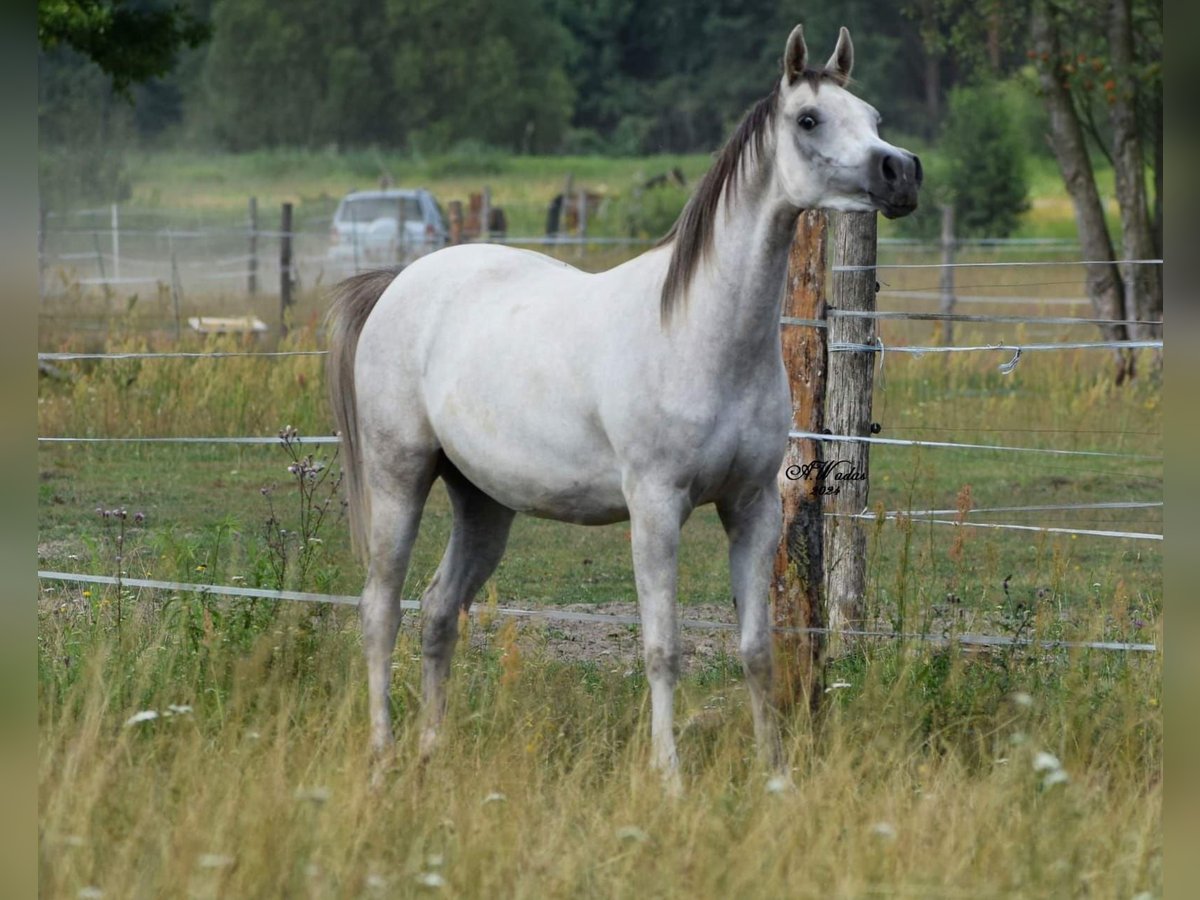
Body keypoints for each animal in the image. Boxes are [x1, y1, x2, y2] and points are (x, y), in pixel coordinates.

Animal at [328, 26, 916, 787]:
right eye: (809, 119)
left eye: (872, 116)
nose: (901, 172)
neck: (698, 332)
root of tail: (398, 282)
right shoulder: (657, 507)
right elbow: (663, 649)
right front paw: (669, 778)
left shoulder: (752, 508)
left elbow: (757, 650)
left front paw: (777, 776)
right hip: (400, 480)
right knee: (379, 612)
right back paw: (383, 756)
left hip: (483, 504)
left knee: (436, 611)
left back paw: (432, 750)